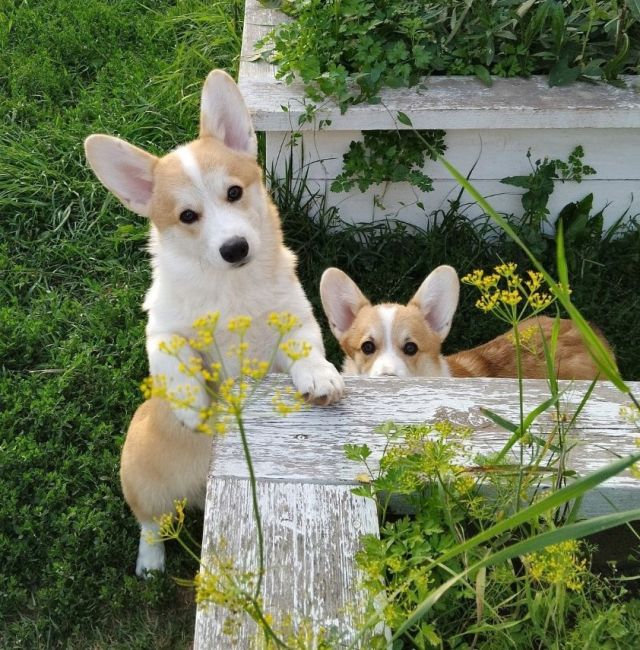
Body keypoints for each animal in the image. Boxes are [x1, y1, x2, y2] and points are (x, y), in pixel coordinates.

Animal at [86, 71, 344, 576]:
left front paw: (319, 377)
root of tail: (197, 495)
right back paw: (150, 563)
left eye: (234, 193)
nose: (235, 248)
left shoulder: (297, 314)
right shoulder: (160, 328)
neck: (232, 287)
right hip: (142, 483)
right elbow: (173, 354)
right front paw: (190, 403)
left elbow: (305, 345)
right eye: (188, 216)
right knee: (151, 526)